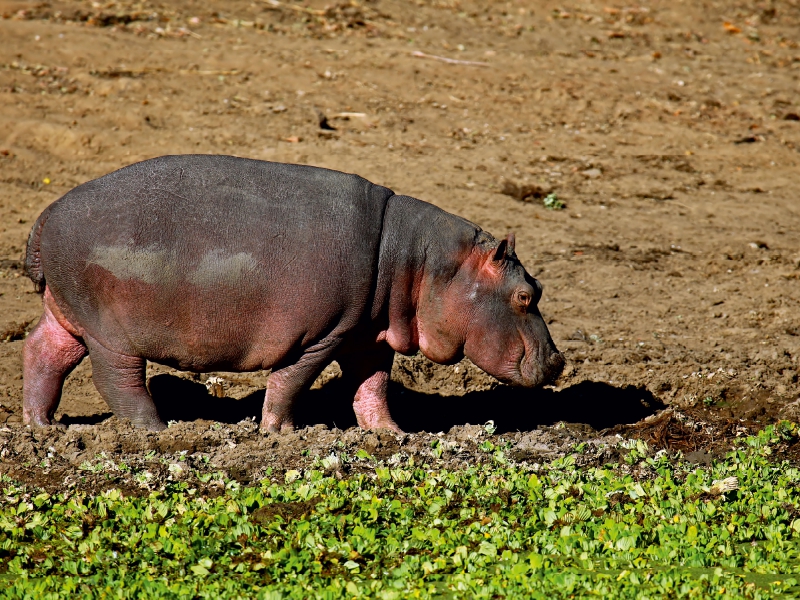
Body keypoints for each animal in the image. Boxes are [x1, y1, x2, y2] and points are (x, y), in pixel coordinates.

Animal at [23, 155, 564, 432]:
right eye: (524, 295)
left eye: (539, 286)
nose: (559, 362)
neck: (422, 263)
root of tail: (46, 213)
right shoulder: (322, 334)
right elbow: (290, 383)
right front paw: (277, 435)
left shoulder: (367, 334)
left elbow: (372, 386)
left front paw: (390, 436)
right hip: (110, 332)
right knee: (119, 381)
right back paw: (159, 434)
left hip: (69, 314)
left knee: (43, 352)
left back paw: (42, 429)